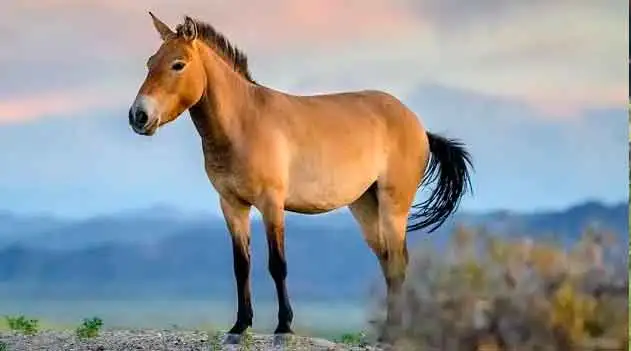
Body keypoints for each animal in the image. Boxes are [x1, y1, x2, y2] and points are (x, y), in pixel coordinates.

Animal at [130, 13, 474, 344]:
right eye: (149, 62)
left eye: (178, 64)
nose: (139, 116)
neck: (244, 123)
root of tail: (417, 125)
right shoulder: (232, 205)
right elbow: (242, 266)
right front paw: (239, 326)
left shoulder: (271, 203)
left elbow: (277, 264)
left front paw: (284, 327)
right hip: (365, 205)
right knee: (388, 262)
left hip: (393, 205)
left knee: (399, 263)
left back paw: (393, 334)